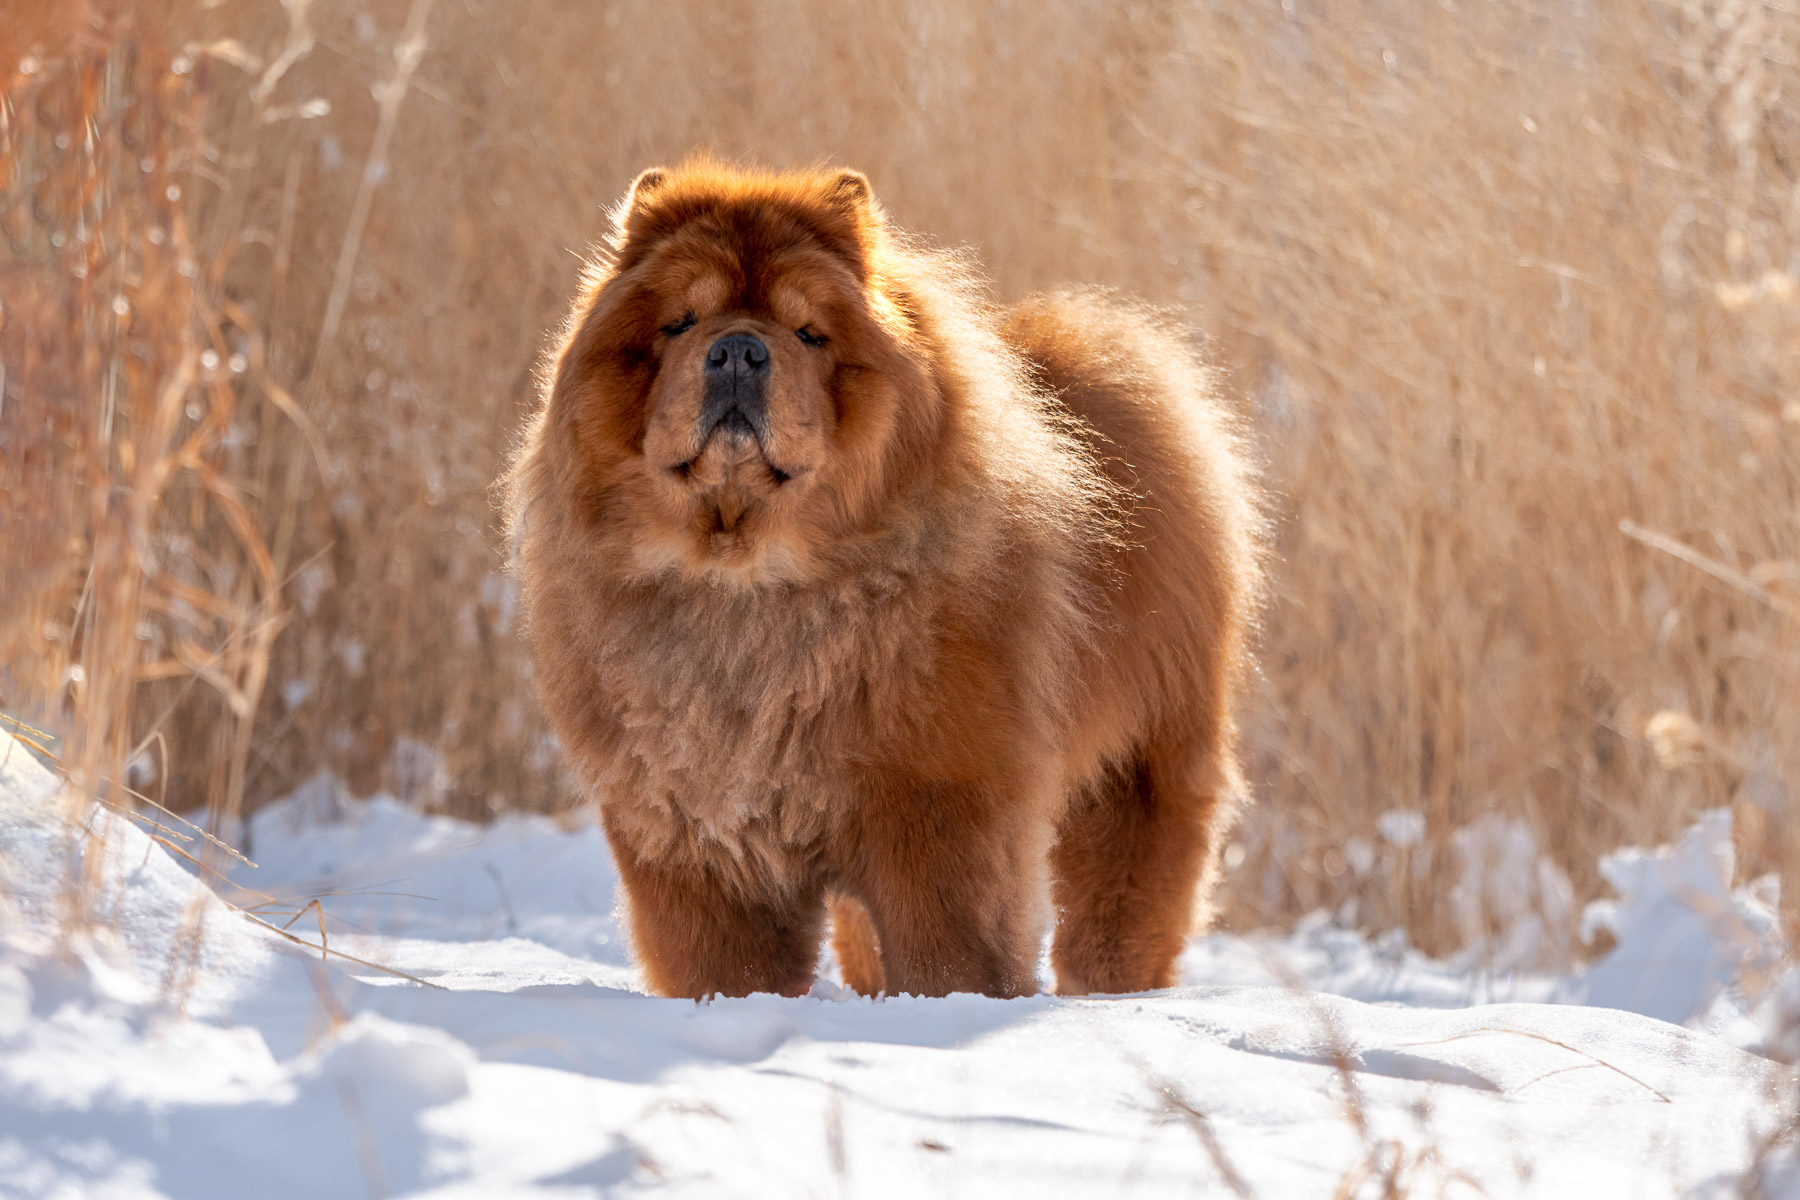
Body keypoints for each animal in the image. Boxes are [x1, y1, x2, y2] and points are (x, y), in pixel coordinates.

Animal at [507, 161, 1267, 1007]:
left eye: (809, 333)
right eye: (681, 323)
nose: (737, 350)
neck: (746, 585)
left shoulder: (938, 809)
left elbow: (948, 951)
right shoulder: (693, 833)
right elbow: (727, 968)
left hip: (1145, 756)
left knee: (1124, 895)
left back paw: (1113, 991)